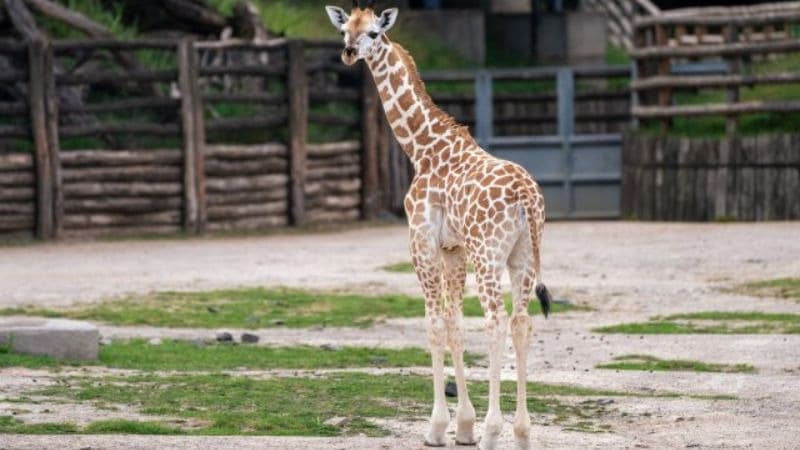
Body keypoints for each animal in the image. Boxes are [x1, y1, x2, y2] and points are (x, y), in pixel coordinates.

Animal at [324, 1, 552, 448]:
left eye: (374, 32)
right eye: (346, 30)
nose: (348, 53)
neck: (422, 148)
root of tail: (526, 198)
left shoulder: (422, 243)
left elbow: (432, 325)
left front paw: (437, 427)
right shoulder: (453, 249)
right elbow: (454, 324)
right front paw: (463, 425)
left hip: (488, 254)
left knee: (496, 322)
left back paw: (494, 431)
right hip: (522, 255)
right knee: (521, 322)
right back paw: (521, 432)